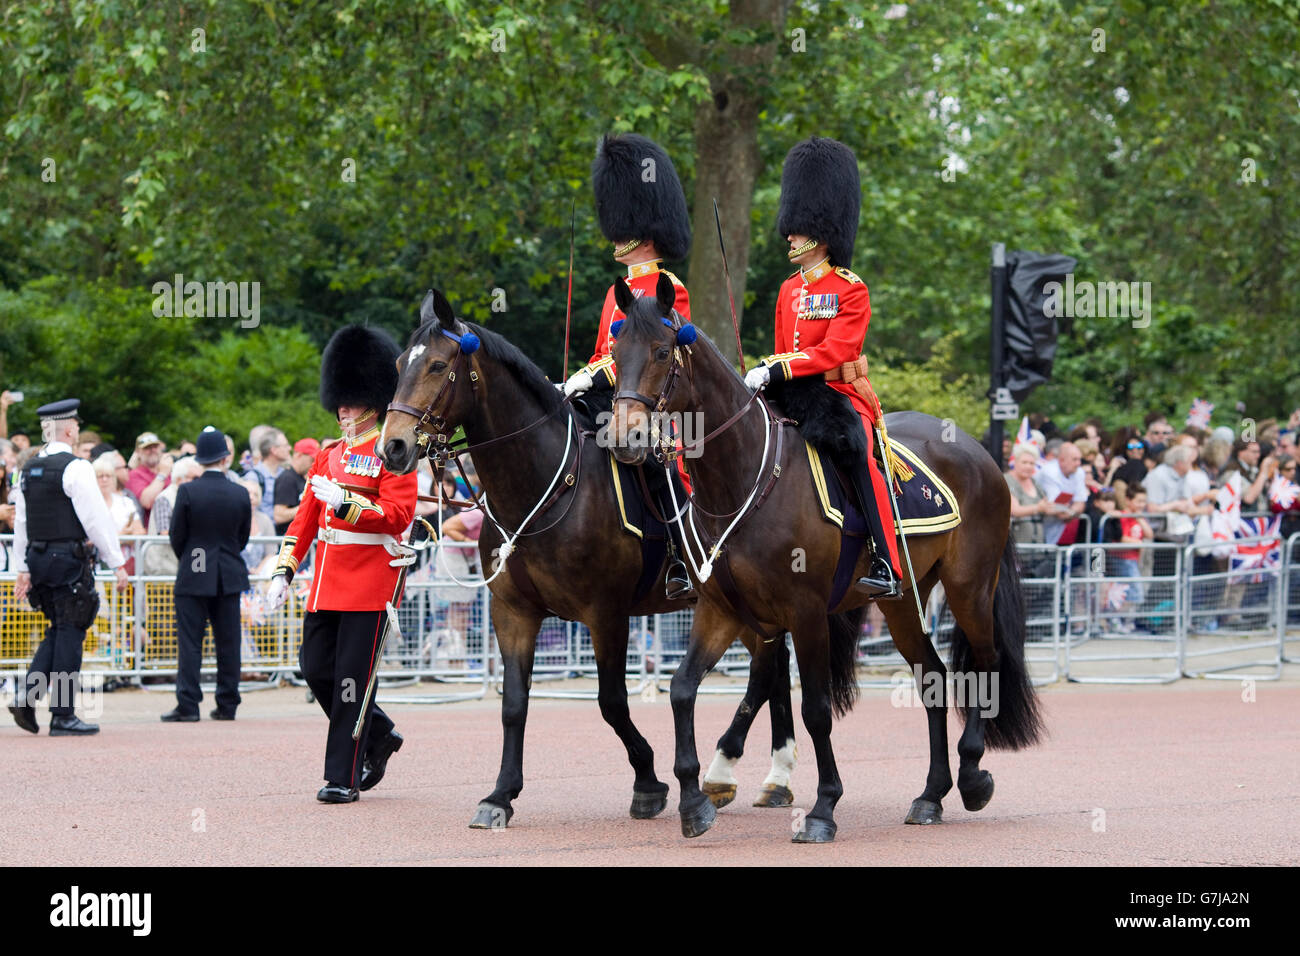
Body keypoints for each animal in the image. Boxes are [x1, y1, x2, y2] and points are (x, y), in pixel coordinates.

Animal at [377, 287, 795, 827]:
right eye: (398, 364)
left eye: (437, 365)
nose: (392, 447)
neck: (546, 488)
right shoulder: (512, 613)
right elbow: (514, 704)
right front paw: (500, 794)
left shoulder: (606, 614)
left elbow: (612, 702)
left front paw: (648, 782)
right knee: (775, 668)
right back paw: (772, 776)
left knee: (768, 668)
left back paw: (740, 772)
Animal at [608, 273, 1045, 842]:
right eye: (616, 352)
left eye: (662, 351)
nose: (625, 439)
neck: (742, 476)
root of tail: (981, 453)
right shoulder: (722, 610)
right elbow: (682, 689)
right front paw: (694, 801)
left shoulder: (806, 612)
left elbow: (815, 710)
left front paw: (823, 807)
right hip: (904, 600)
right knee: (932, 677)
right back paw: (931, 795)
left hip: (970, 586)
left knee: (985, 666)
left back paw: (971, 774)